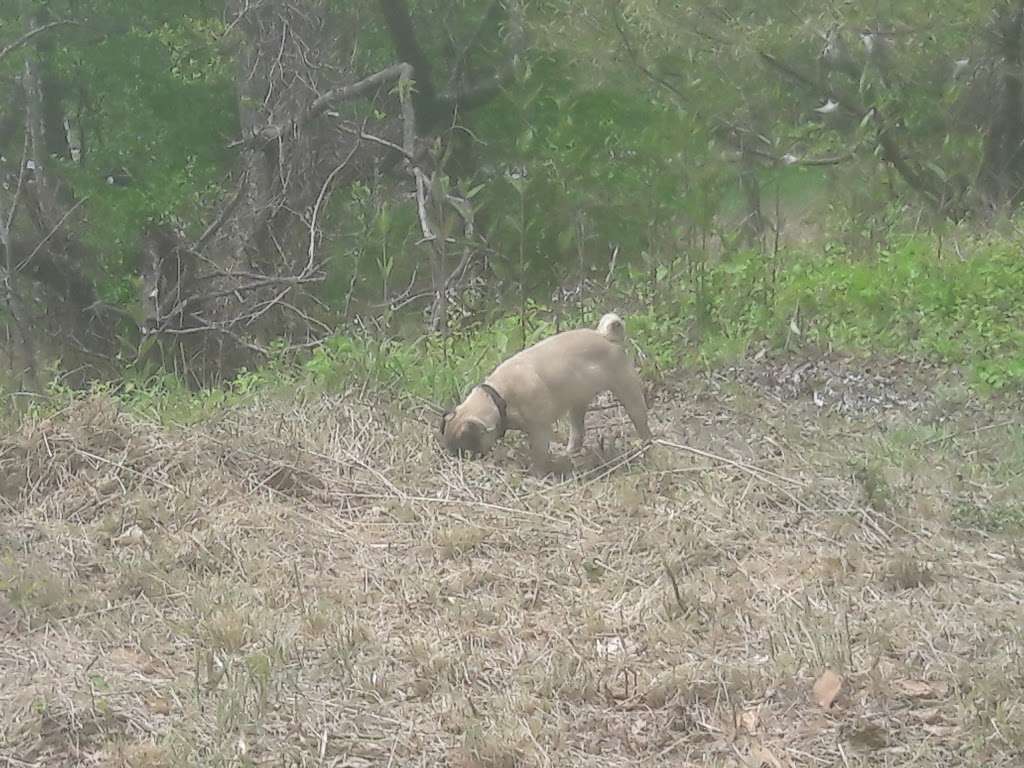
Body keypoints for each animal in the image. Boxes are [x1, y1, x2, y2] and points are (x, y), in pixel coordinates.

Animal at [438, 313, 647, 475]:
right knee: (578, 431)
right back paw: (570, 453)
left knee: (640, 420)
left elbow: (539, 454)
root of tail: (605, 336)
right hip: (577, 403)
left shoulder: (539, 430)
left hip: (627, 390)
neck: (497, 397)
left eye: (466, 449)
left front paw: (536, 473)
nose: (459, 460)